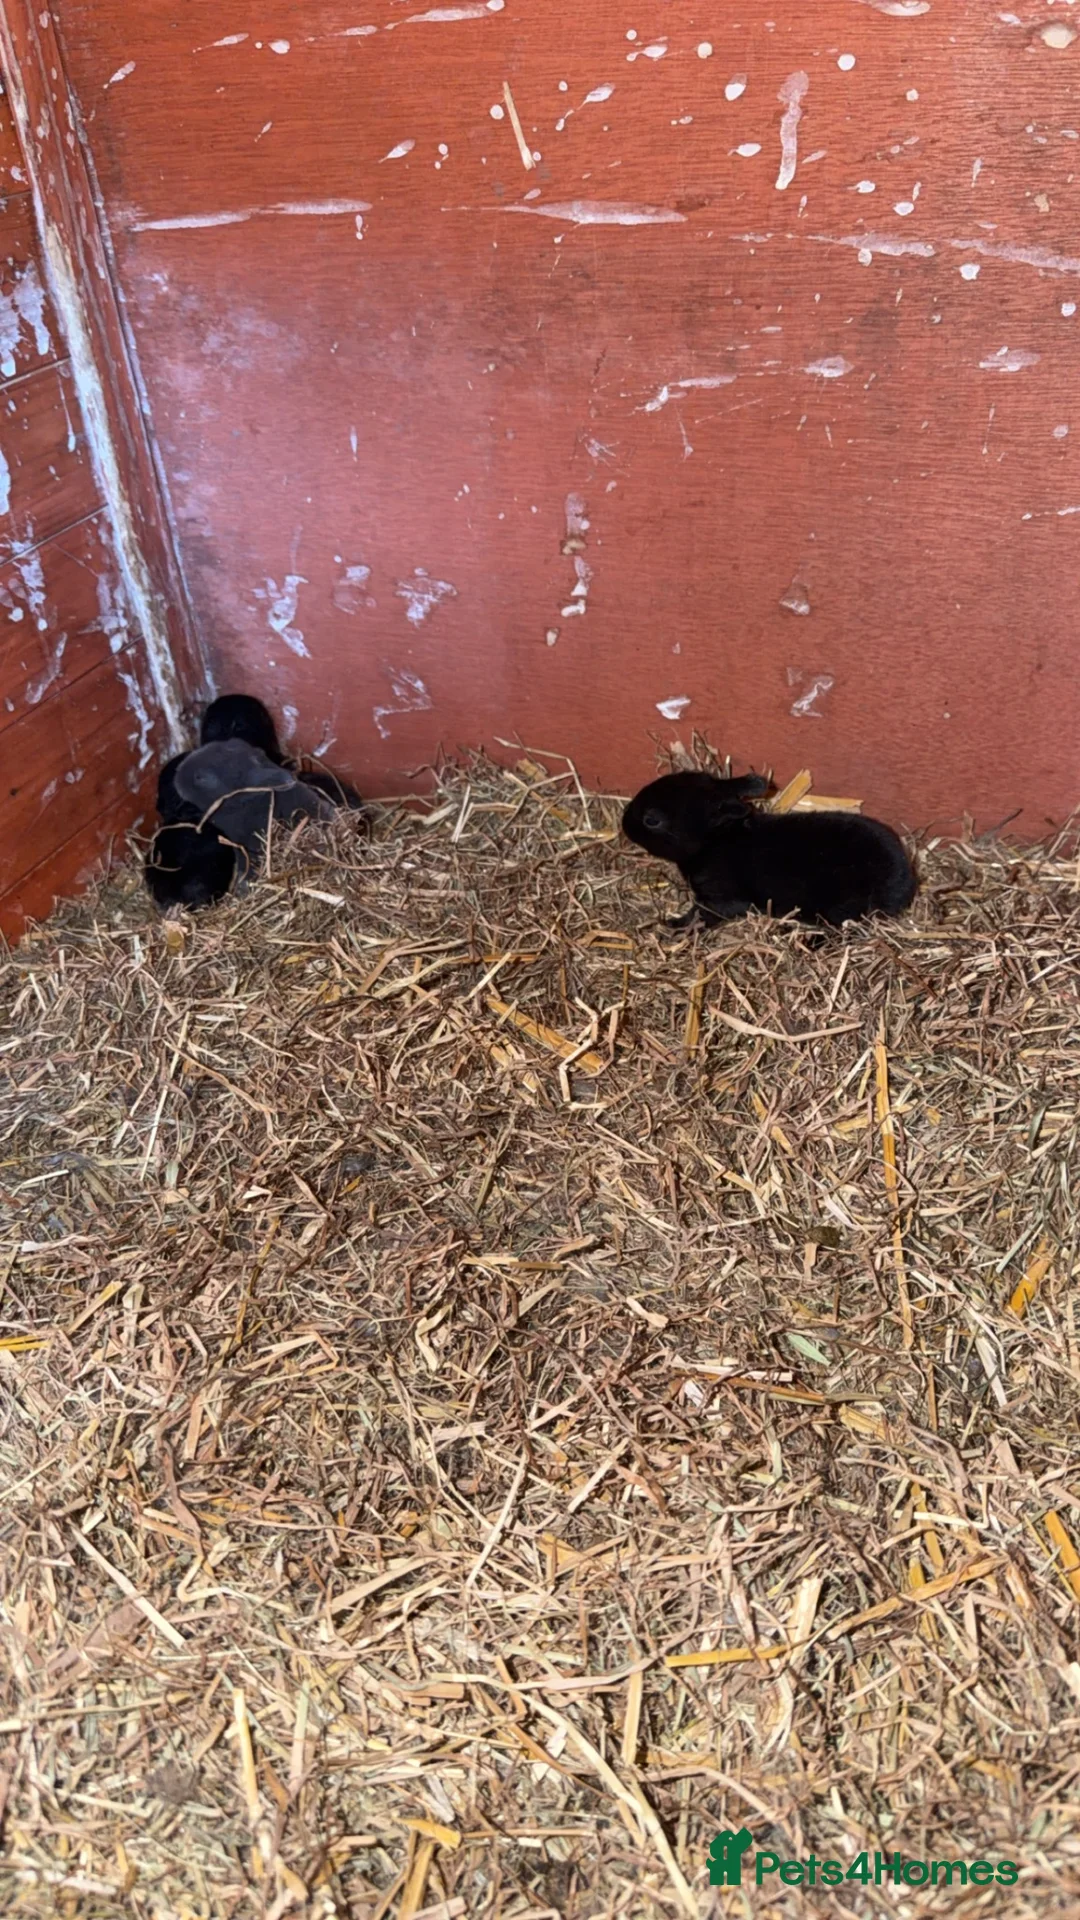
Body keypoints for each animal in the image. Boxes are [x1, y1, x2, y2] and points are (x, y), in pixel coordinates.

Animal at [622, 769, 916, 929]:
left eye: (651, 820)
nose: (624, 822)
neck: (714, 841)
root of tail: (906, 883)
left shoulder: (720, 899)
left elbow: (701, 915)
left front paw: (672, 925)